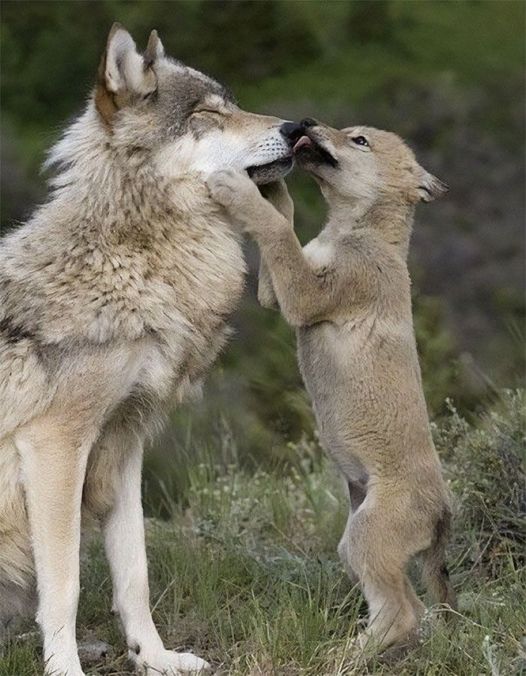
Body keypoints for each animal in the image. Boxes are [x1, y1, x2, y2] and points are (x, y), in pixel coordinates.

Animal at [0, 23, 303, 676]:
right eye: (208, 115)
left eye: (234, 103)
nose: (298, 127)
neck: (129, 262)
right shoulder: (56, 444)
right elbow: (63, 583)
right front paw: (65, 668)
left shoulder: (125, 442)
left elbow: (134, 571)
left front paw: (155, 657)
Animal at [207, 119, 456, 654]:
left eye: (359, 140)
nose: (304, 124)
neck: (355, 231)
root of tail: (443, 514)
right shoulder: (278, 292)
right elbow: (282, 218)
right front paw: (270, 181)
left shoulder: (305, 295)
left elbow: (276, 230)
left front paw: (237, 187)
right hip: (357, 540)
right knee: (408, 608)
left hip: (364, 538)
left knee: (403, 612)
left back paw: (347, 654)